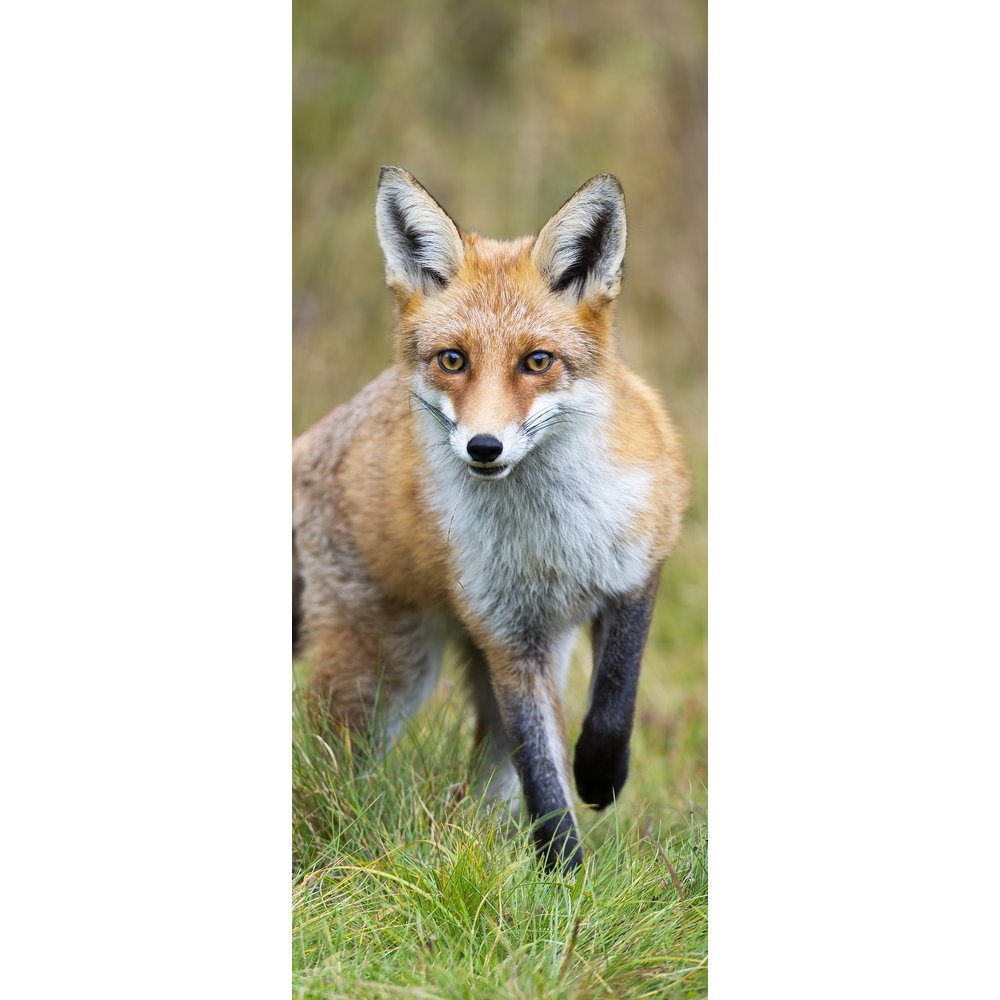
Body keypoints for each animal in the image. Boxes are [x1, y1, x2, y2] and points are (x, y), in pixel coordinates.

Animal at [292, 166, 690, 870]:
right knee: (327, 761)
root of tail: (319, 433)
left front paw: (600, 775)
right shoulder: (507, 635)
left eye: (537, 361)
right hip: (385, 674)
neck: (550, 537)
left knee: (481, 785)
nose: (484, 447)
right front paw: (566, 877)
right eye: (453, 359)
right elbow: (543, 777)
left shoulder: (638, 567)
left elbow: (614, 701)